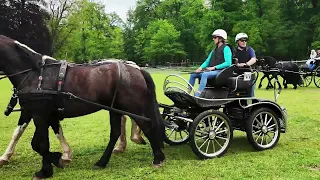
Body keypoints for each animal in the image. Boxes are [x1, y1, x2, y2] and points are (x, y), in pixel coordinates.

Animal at [0, 34, 165, 179]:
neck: (35, 74)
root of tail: (137, 69)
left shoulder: (40, 114)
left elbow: (39, 144)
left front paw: (47, 169)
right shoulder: (33, 112)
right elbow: (24, 135)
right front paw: (60, 157)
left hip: (132, 107)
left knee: (146, 125)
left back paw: (158, 157)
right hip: (115, 108)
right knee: (116, 132)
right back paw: (103, 161)